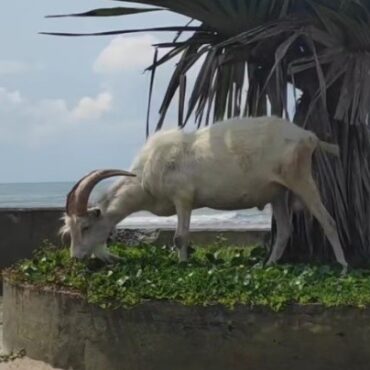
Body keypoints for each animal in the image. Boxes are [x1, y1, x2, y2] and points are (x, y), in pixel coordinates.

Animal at [62, 117, 348, 274]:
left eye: (85, 227)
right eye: (71, 230)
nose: (75, 258)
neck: (145, 176)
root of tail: (308, 136)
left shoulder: (183, 199)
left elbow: (179, 237)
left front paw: (182, 264)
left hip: (300, 178)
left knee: (328, 220)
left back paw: (343, 265)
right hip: (278, 191)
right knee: (286, 229)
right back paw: (267, 266)